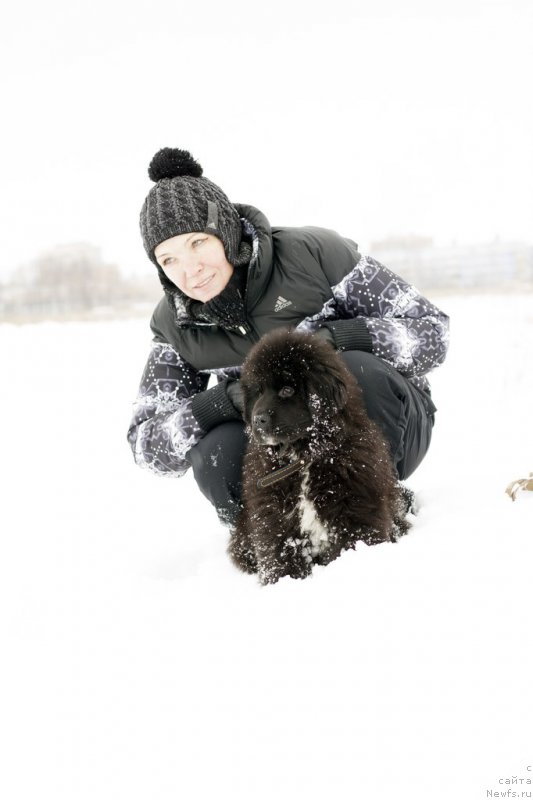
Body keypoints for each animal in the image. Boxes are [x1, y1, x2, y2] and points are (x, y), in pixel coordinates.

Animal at [227, 328, 414, 584]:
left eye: (287, 389)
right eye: (258, 391)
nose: (258, 420)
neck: (303, 457)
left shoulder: (355, 504)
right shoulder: (274, 517)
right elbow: (280, 554)